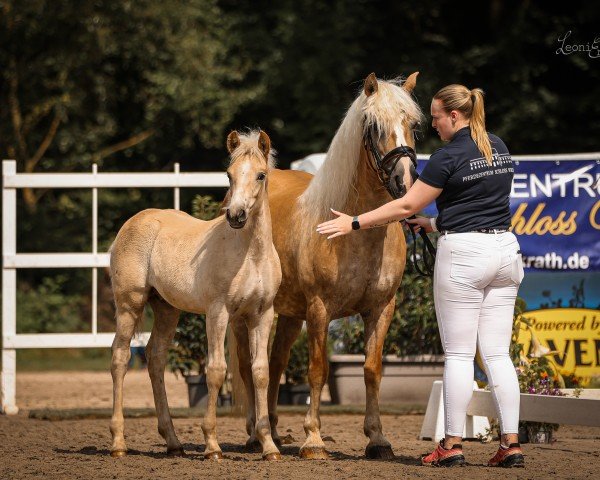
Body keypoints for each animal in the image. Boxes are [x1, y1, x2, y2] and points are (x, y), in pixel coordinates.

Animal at [108, 129, 282, 460]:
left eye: (261, 175)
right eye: (229, 175)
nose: (236, 215)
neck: (250, 255)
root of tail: (133, 222)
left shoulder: (262, 314)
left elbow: (261, 372)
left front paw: (269, 446)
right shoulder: (218, 312)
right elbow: (215, 370)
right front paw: (212, 445)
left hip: (166, 309)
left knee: (155, 357)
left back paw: (173, 441)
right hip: (129, 305)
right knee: (120, 358)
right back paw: (118, 443)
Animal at [262, 73, 422, 460]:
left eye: (412, 125)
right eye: (374, 126)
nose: (405, 181)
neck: (356, 230)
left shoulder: (381, 309)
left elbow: (372, 370)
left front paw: (377, 439)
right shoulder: (320, 309)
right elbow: (318, 370)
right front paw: (313, 440)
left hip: (289, 313)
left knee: (275, 364)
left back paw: (271, 431)